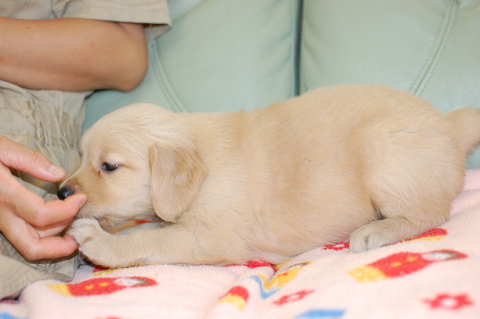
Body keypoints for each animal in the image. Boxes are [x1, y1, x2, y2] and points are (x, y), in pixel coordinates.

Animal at [58, 85, 480, 270]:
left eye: (109, 166)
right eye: (81, 157)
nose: (61, 192)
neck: (204, 168)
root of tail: (449, 125)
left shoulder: (210, 237)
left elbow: (149, 238)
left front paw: (99, 241)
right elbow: (147, 228)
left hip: (383, 148)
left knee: (430, 213)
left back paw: (375, 231)